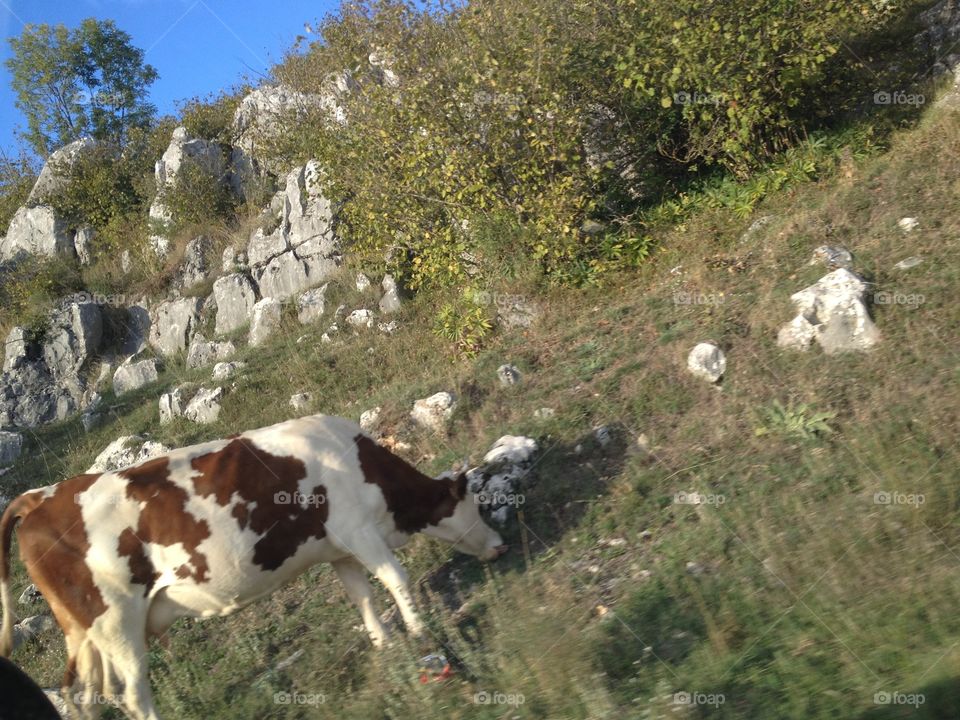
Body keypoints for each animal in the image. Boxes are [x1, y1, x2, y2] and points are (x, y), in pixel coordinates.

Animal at [0, 415, 508, 720]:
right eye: (477, 504)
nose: (500, 546)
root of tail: (39, 496)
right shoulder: (361, 531)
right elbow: (397, 580)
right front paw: (419, 631)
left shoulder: (340, 548)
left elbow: (361, 596)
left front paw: (384, 643)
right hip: (116, 623)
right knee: (133, 695)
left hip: (86, 636)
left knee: (84, 696)